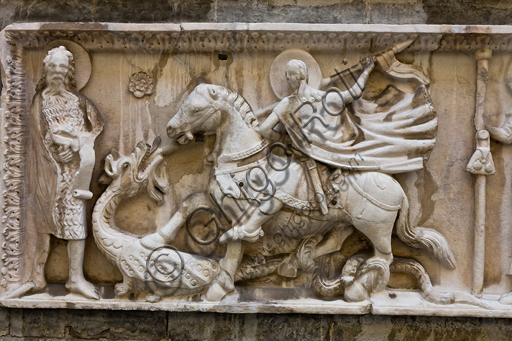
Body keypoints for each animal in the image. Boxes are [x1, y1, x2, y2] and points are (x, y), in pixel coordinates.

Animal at [144, 82, 456, 300]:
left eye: (196, 109)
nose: (171, 129)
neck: (244, 161)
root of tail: (399, 190)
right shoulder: (217, 200)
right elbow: (188, 203)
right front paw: (153, 239)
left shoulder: (244, 212)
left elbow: (236, 242)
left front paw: (219, 288)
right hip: (344, 221)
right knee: (336, 243)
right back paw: (293, 263)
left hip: (374, 226)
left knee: (383, 258)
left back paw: (355, 290)